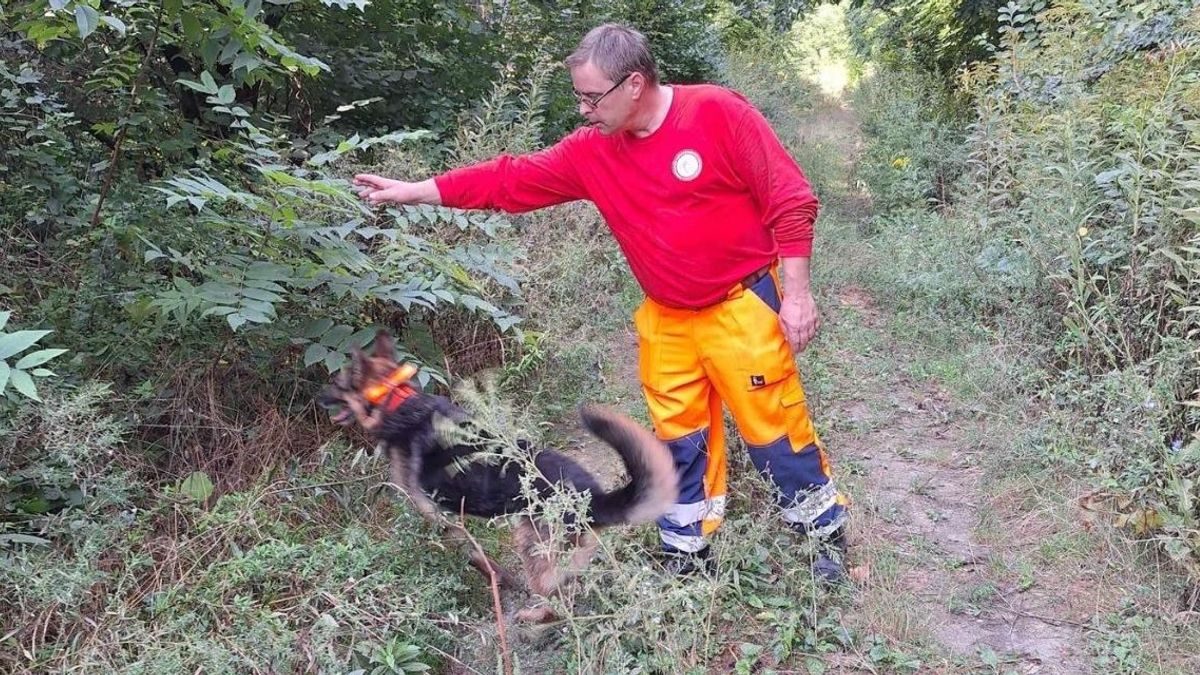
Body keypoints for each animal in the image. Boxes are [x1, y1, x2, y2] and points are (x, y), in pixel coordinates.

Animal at [316, 331, 676, 619]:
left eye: (338, 384)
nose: (319, 397)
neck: (396, 400)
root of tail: (593, 498)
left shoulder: (440, 519)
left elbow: (475, 557)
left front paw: (497, 579)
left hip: (533, 546)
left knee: (557, 597)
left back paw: (539, 617)